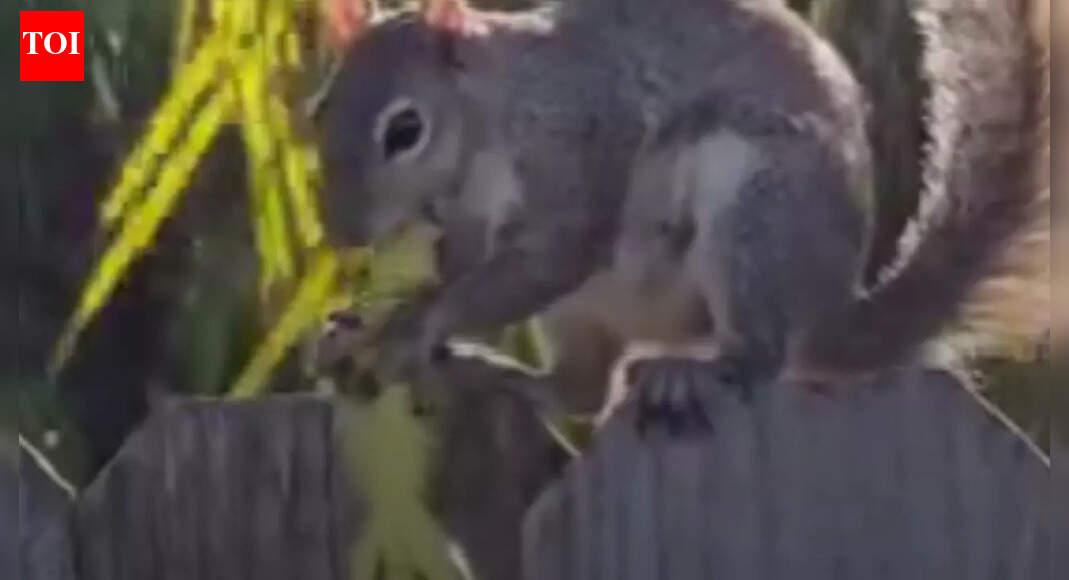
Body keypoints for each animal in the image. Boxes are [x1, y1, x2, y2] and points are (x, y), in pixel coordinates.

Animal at [314, 0, 1049, 425]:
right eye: (318, 110)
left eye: (404, 130)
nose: (344, 232)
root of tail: (827, 313)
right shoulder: (464, 221)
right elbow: (463, 271)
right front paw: (375, 321)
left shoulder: (579, 143)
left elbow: (549, 256)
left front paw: (407, 330)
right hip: (584, 311)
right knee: (582, 393)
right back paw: (482, 372)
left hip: (754, 222)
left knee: (757, 357)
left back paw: (692, 373)